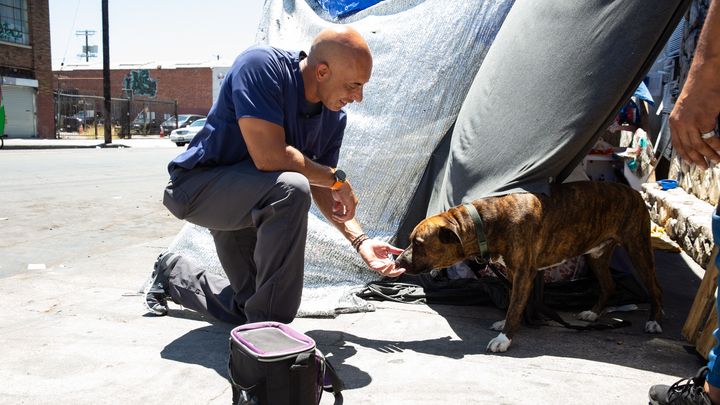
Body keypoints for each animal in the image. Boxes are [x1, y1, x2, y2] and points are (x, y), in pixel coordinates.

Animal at [394, 181, 664, 352]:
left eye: (418, 243)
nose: (397, 261)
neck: (487, 222)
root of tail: (635, 192)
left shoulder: (524, 273)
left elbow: (515, 305)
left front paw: (504, 338)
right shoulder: (513, 273)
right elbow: (515, 303)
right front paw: (508, 325)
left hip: (638, 248)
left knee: (654, 288)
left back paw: (653, 322)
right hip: (596, 254)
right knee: (608, 286)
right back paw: (593, 313)